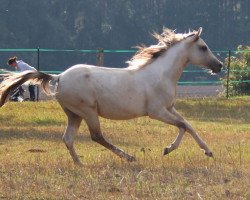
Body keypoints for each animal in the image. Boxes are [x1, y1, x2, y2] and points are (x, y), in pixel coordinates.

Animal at [0, 28, 223, 166]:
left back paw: (80, 164)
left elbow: (188, 125)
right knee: (96, 136)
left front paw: (208, 151)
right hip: (88, 111)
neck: (161, 74)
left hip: (74, 114)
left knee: (68, 138)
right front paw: (168, 149)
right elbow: (182, 126)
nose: (219, 65)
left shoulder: (169, 108)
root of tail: (59, 77)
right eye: (203, 47)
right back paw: (129, 157)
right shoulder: (157, 112)